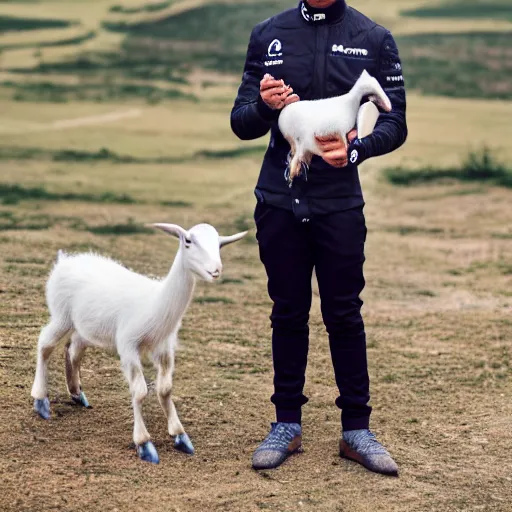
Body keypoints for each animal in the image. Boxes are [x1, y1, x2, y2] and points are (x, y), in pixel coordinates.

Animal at [31, 222, 247, 462]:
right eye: (188, 241)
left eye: (219, 244)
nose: (216, 270)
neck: (155, 302)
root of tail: (65, 260)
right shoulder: (128, 345)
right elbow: (140, 391)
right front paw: (144, 444)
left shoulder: (164, 348)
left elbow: (165, 389)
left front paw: (180, 436)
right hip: (61, 315)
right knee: (45, 344)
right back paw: (41, 402)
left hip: (85, 327)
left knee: (73, 350)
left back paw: (77, 393)